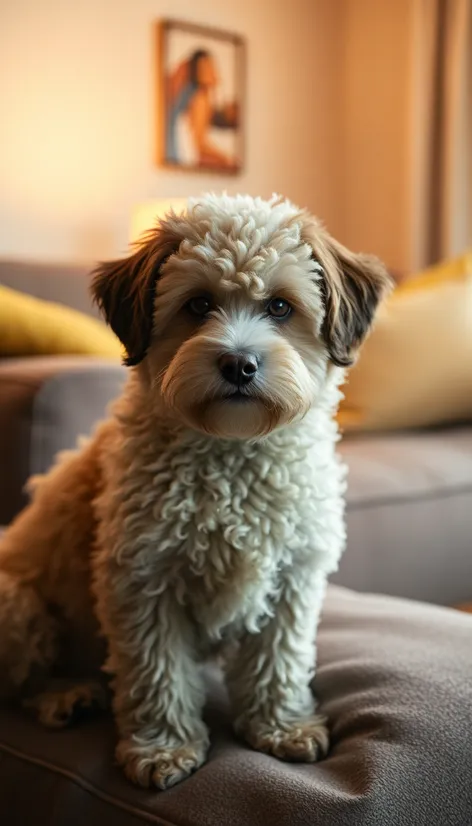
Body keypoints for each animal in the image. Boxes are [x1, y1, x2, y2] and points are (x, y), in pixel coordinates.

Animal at [0, 192, 390, 784]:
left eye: (280, 308)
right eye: (198, 304)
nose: (238, 363)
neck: (232, 453)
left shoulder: (293, 577)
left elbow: (280, 659)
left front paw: (280, 725)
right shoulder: (143, 579)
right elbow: (157, 672)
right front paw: (164, 747)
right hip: (18, 602)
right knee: (19, 687)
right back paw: (65, 696)